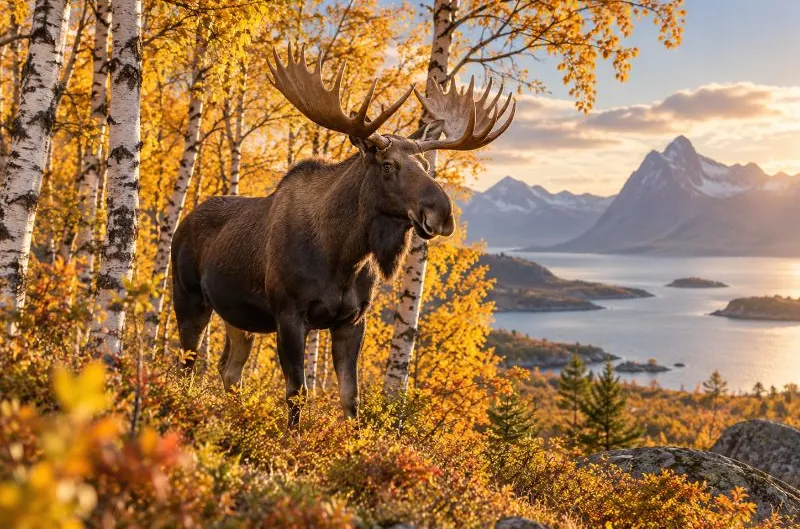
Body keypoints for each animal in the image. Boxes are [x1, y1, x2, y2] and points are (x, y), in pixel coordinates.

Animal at [170, 44, 515, 428]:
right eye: (388, 166)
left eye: (427, 166)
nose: (442, 214)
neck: (343, 256)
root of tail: (182, 224)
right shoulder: (289, 314)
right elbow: (297, 393)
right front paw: (294, 438)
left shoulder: (352, 320)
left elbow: (351, 399)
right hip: (188, 297)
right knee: (186, 365)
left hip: (238, 316)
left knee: (229, 370)